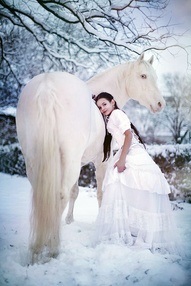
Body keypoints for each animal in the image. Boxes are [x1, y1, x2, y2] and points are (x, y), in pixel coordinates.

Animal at [16, 52, 166, 262]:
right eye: (143, 76)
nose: (161, 103)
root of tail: (47, 87)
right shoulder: (101, 162)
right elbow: (100, 193)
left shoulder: (77, 163)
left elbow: (75, 191)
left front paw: (69, 220)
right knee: (59, 196)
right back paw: (51, 247)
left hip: (34, 159)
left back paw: (37, 247)